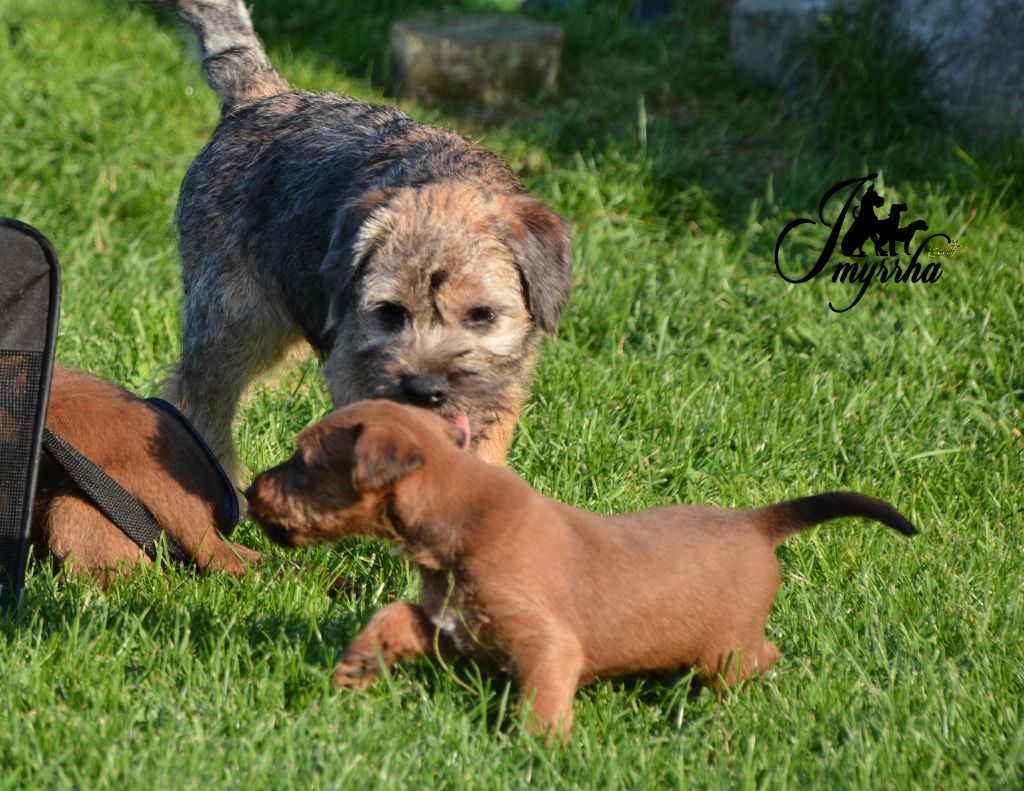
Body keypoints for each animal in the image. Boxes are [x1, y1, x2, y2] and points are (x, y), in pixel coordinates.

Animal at [247, 401, 921, 741]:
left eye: (303, 462)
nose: (250, 490)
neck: (459, 517)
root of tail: (756, 521)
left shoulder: (547, 646)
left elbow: (541, 706)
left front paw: (539, 753)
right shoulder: (449, 626)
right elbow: (390, 616)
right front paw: (358, 667)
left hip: (726, 649)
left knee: (760, 658)